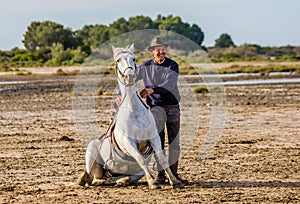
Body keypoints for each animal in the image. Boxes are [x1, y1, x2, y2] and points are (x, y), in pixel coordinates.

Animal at [77, 43, 183, 189]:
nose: (130, 76)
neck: (134, 111)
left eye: (133, 59)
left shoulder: (154, 138)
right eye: (118, 60)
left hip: (132, 172)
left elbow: (162, 159)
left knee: (125, 176)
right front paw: (152, 182)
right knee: (92, 177)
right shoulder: (129, 143)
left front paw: (175, 180)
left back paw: (121, 180)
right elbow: (141, 159)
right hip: (92, 152)